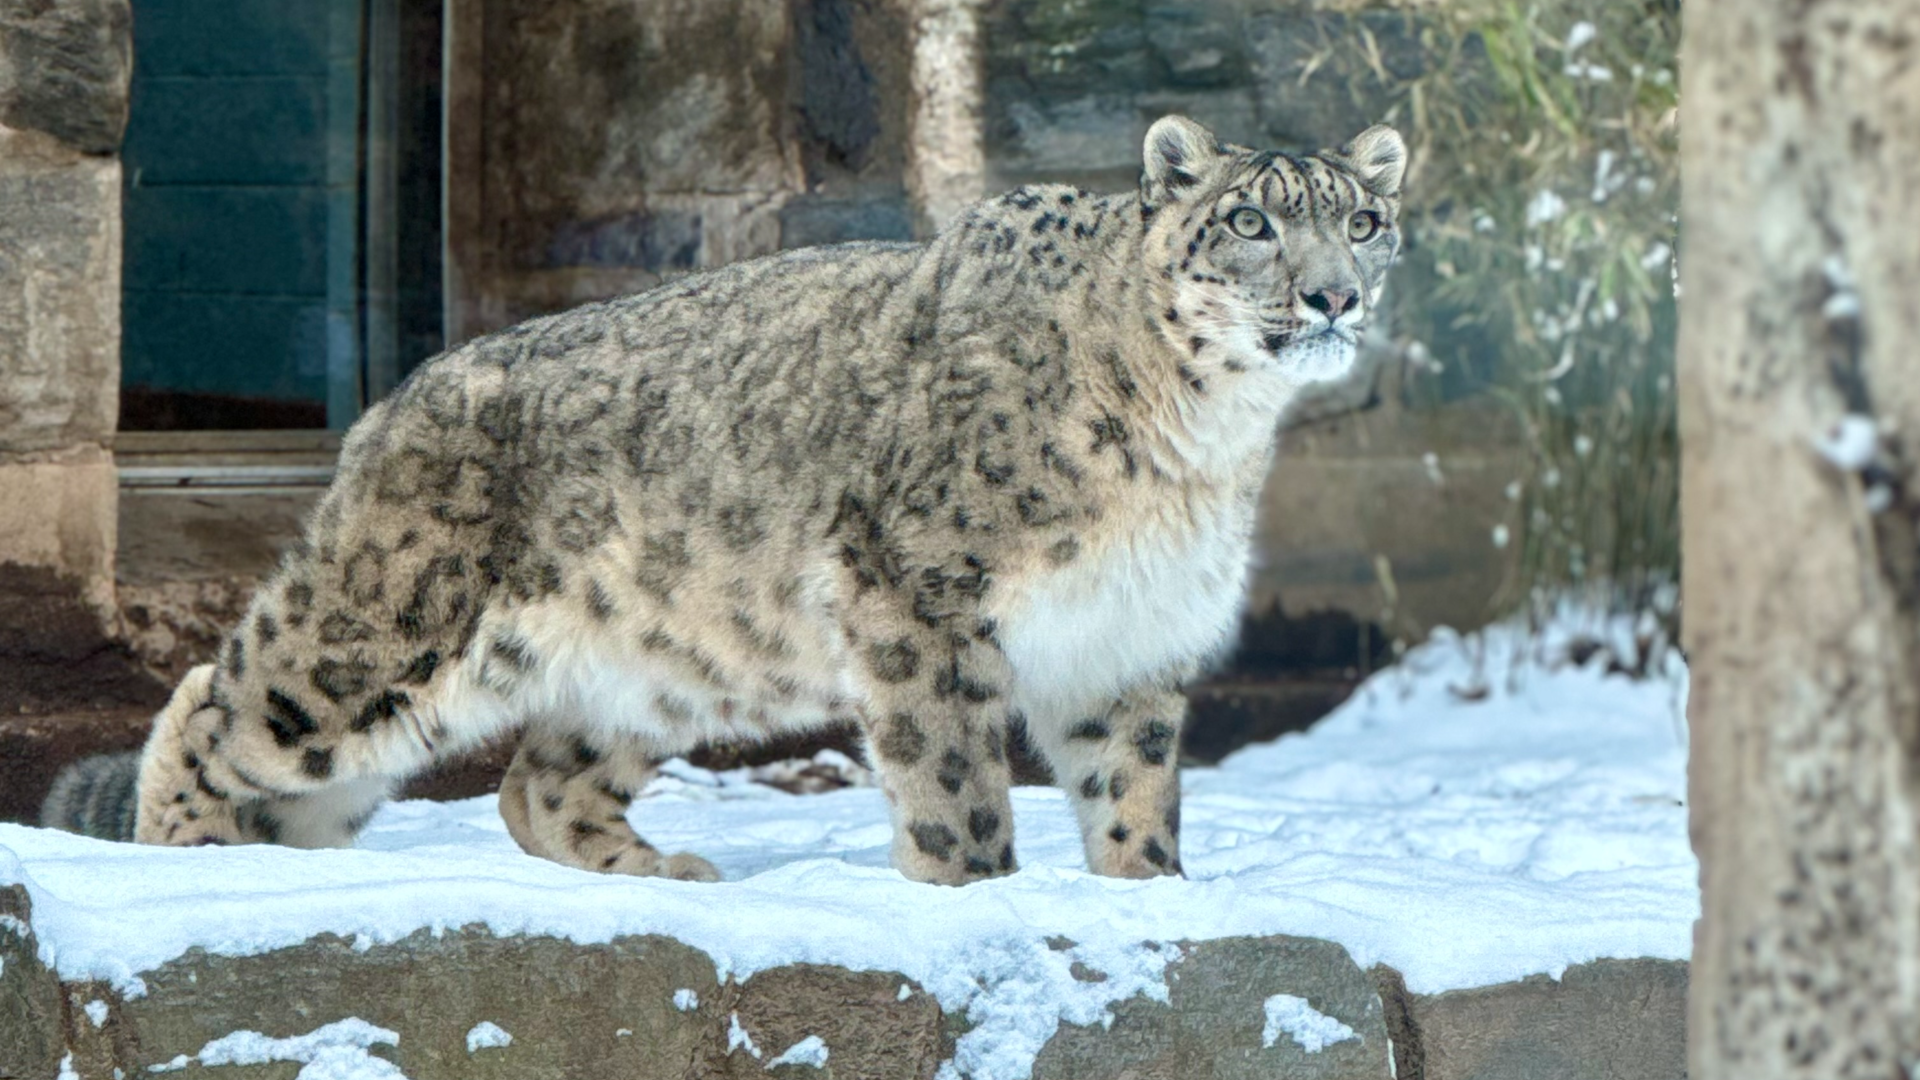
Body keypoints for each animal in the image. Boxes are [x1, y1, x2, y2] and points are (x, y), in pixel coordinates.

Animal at [45, 115, 1405, 886]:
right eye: (1251, 221)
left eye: (1365, 220)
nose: (1334, 296)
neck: (1201, 443)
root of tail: (395, 403)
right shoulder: (923, 597)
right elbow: (954, 786)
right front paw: (976, 900)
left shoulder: (1129, 637)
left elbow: (1134, 796)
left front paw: (1149, 906)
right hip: (380, 631)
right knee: (218, 701)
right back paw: (195, 876)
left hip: (657, 669)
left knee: (535, 785)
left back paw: (668, 877)